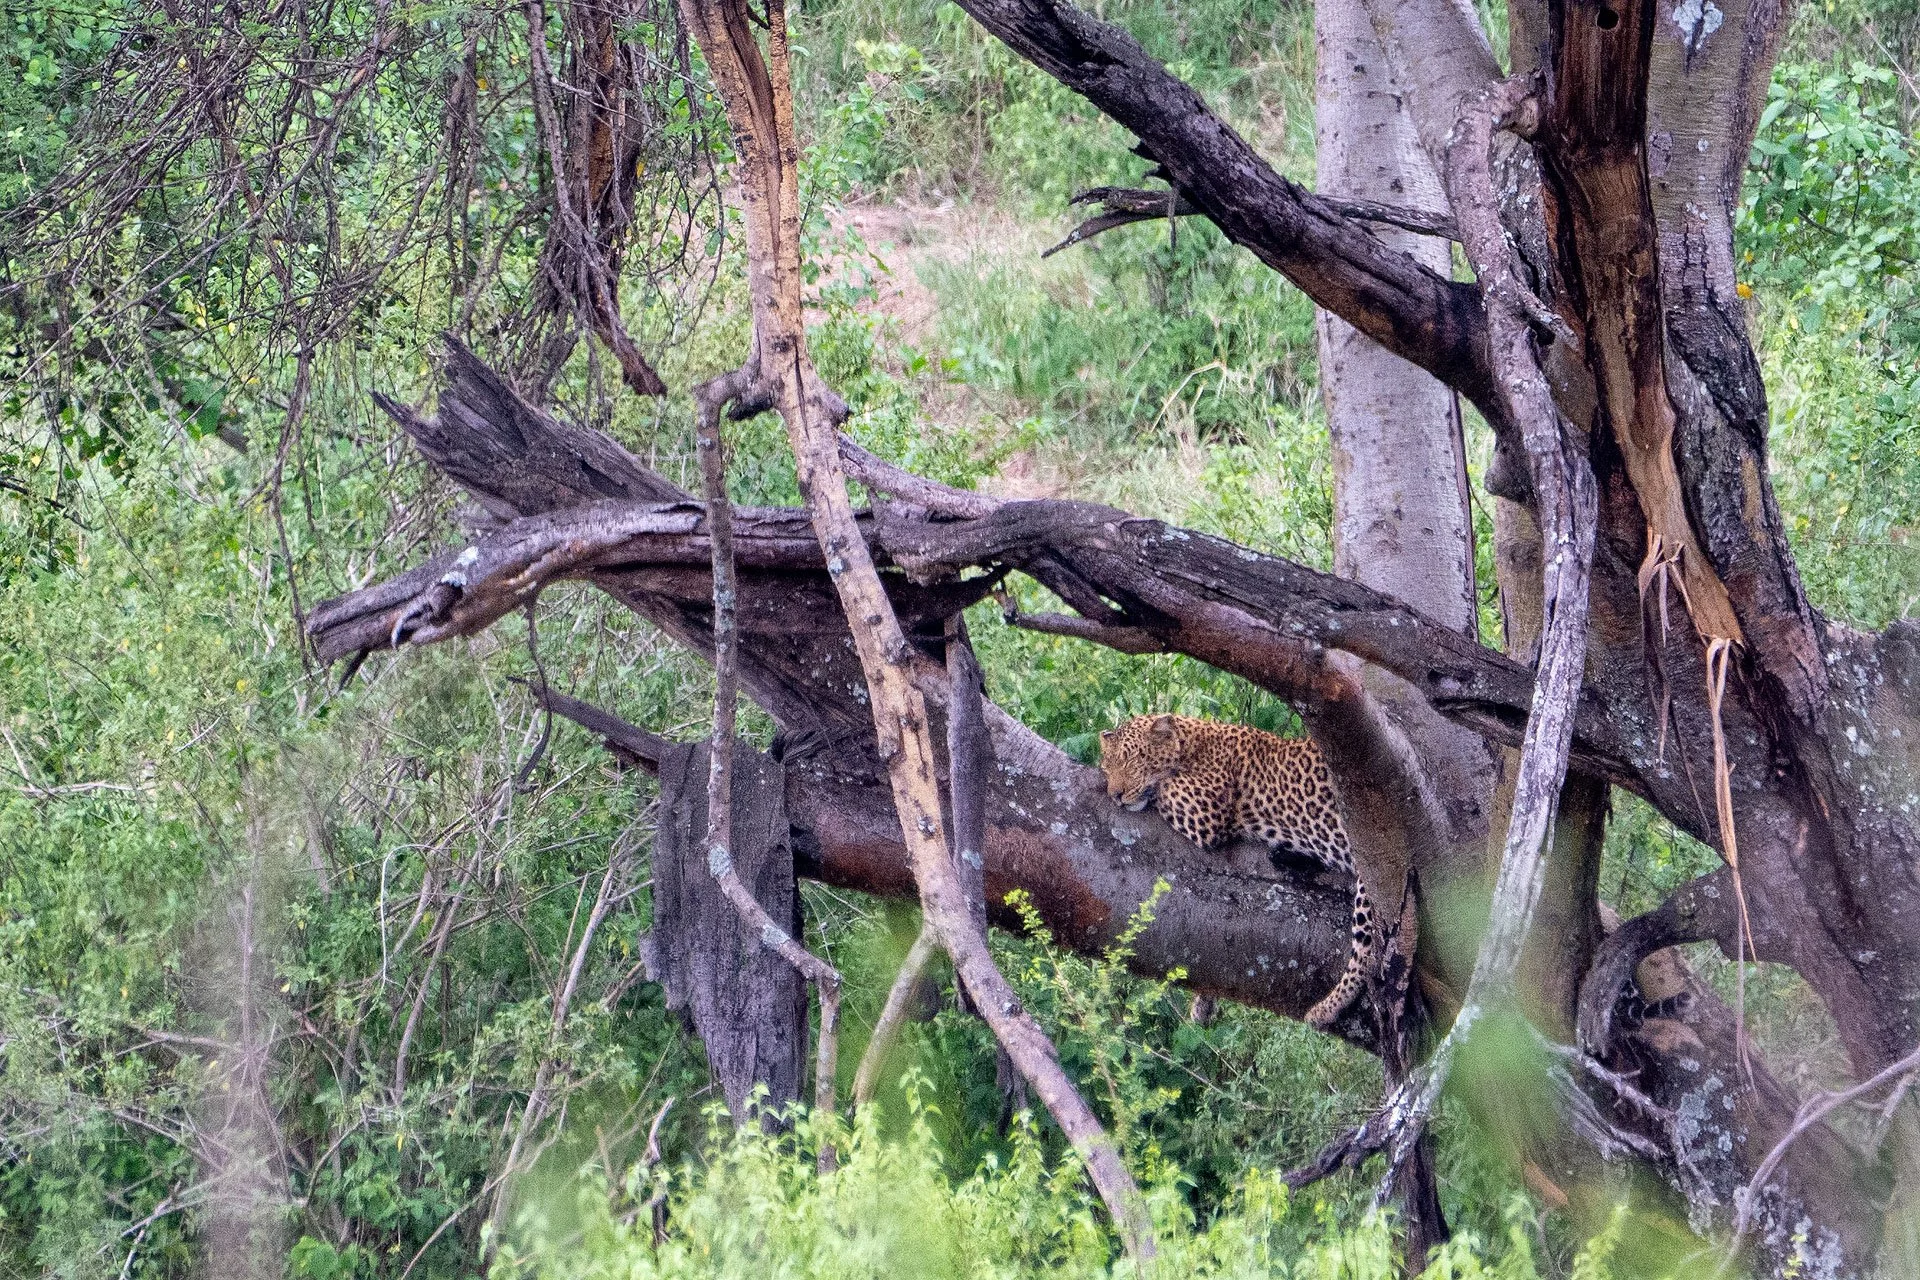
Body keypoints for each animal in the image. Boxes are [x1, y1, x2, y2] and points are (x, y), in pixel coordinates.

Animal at [1099, 713, 1371, 1031]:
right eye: (1107, 767)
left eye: (1131, 761)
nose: (1115, 796)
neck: (1192, 743)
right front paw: (1203, 1002)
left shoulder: (1202, 809)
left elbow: (1164, 785)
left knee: (1369, 950)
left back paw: (1328, 1007)